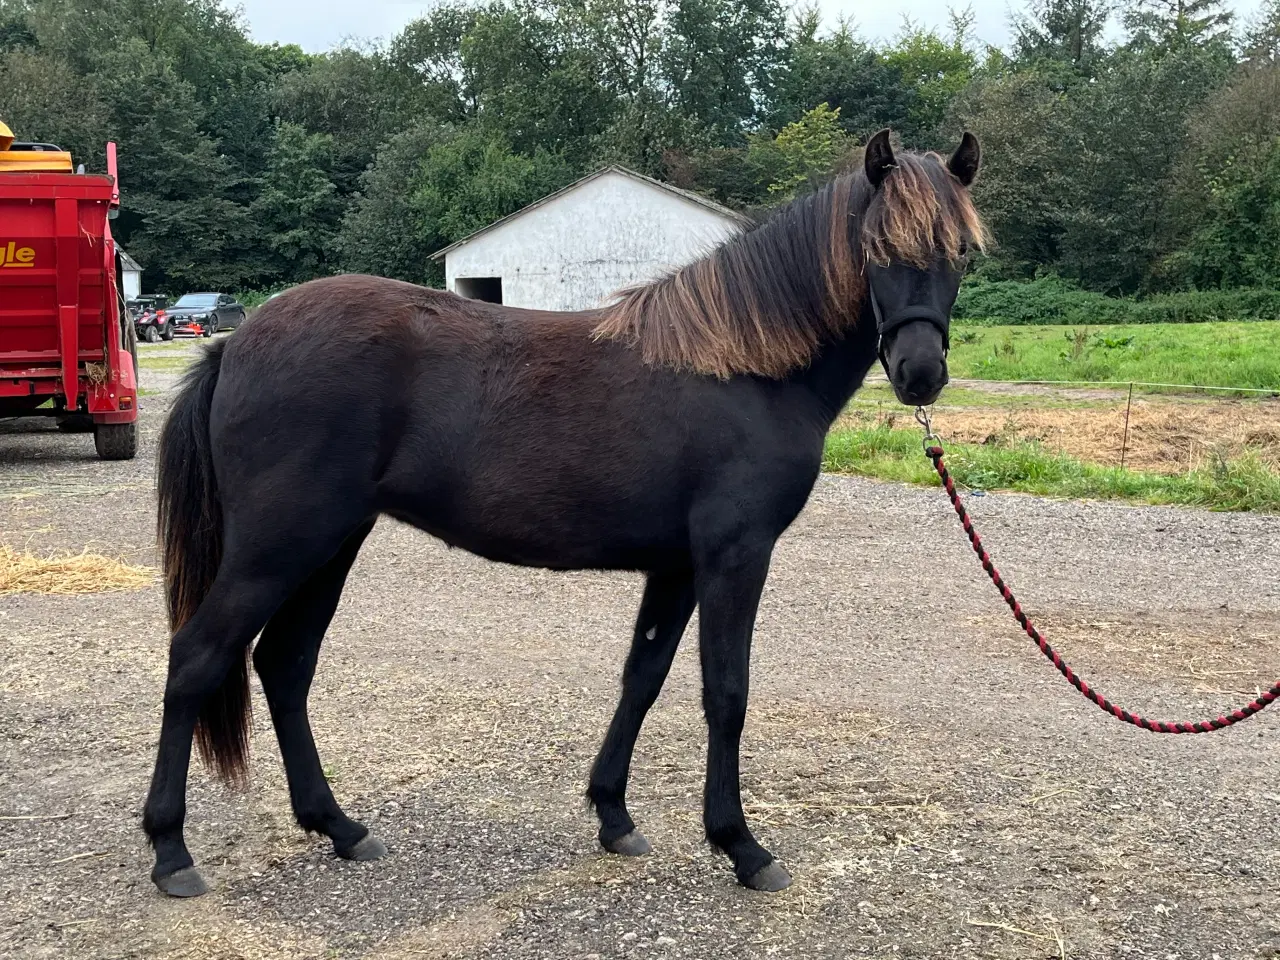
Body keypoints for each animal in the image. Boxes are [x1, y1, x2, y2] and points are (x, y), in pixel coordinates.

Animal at [145, 131, 983, 901]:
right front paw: (742, 846)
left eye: (962, 254)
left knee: (285, 666)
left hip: (330, 544)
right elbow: (726, 692)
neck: (744, 368)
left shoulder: (677, 566)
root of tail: (234, 344)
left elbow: (643, 677)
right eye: (877, 247)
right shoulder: (734, 555)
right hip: (279, 547)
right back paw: (171, 852)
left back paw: (340, 828)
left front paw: (614, 816)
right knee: (197, 658)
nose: (919, 374)